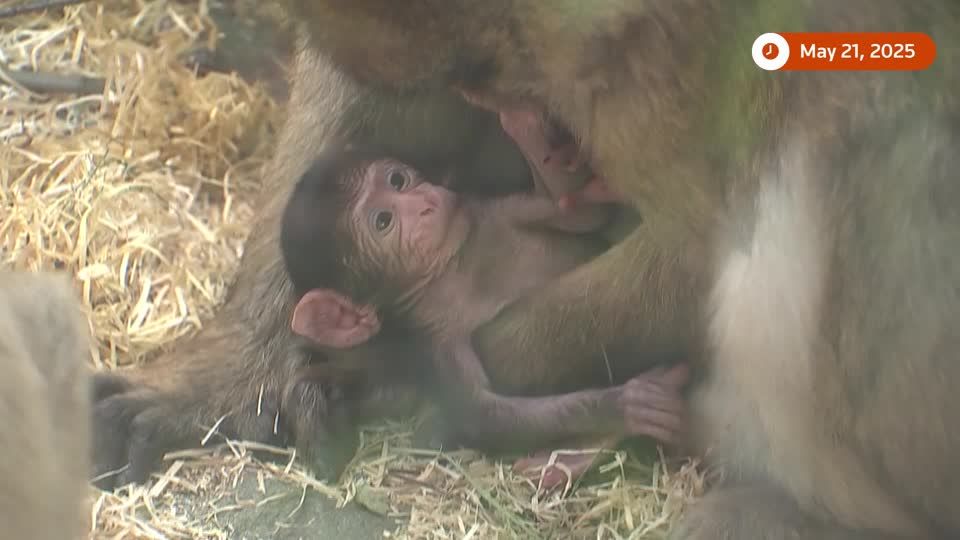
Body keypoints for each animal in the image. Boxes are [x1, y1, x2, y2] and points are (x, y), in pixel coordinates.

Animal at [279, 146, 690, 485]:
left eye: (398, 180)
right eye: (383, 221)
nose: (424, 200)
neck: (452, 266)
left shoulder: (491, 209)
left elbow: (585, 215)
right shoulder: (435, 341)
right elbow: (483, 415)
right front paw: (625, 405)